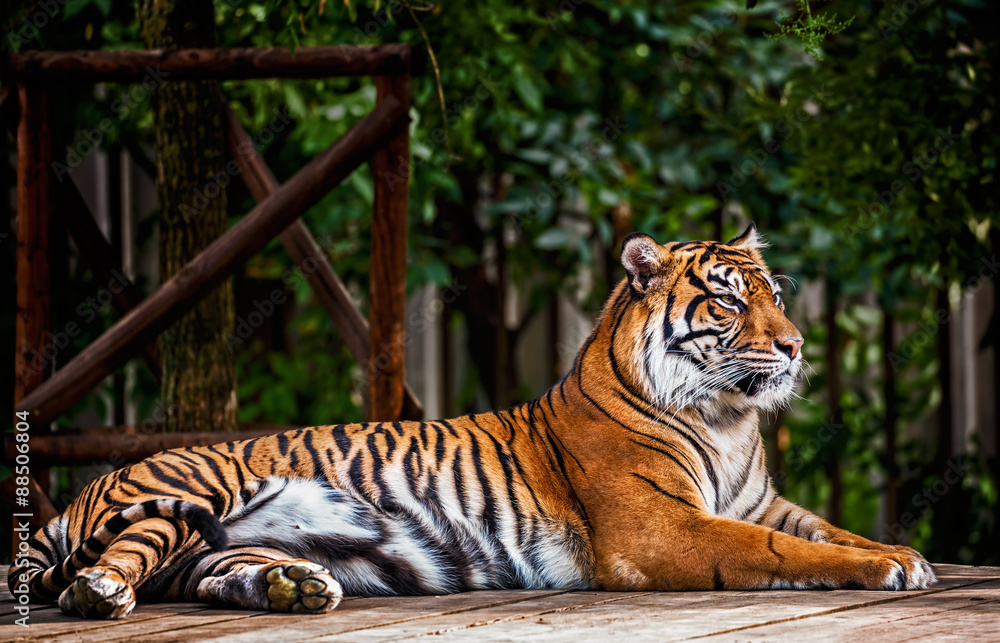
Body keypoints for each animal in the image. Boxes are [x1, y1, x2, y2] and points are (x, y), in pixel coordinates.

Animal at [9, 224, 936, 620]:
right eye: (730, 299)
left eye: (773, 291)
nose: (796, 343)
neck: (728, 417)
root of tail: (82, 492)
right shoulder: (661, 528)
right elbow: (783, 551)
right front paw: (889, 567)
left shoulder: (758, 501)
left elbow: (826, 528)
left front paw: (902, 551)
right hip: (186, 491)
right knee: (112, 562)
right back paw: (104, 593)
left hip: (222, 543)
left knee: (210, 573)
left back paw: (294, 586)